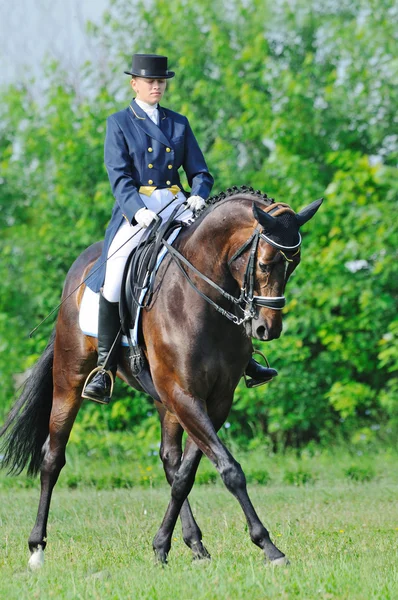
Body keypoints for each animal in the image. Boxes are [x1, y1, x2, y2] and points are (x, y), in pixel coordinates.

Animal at [0, 186, 324, 568]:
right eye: (264, 262)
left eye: (294, 264)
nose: (266, 329)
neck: (202, 297)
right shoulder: (185, 395)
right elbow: (230, 470)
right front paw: (268, 546)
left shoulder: (213, 400)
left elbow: (186, 474)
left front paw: (163, 545)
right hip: (70, 378)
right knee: (52, 457)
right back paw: (37, 549)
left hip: (162, 398)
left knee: (170, 460)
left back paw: (195, 544)